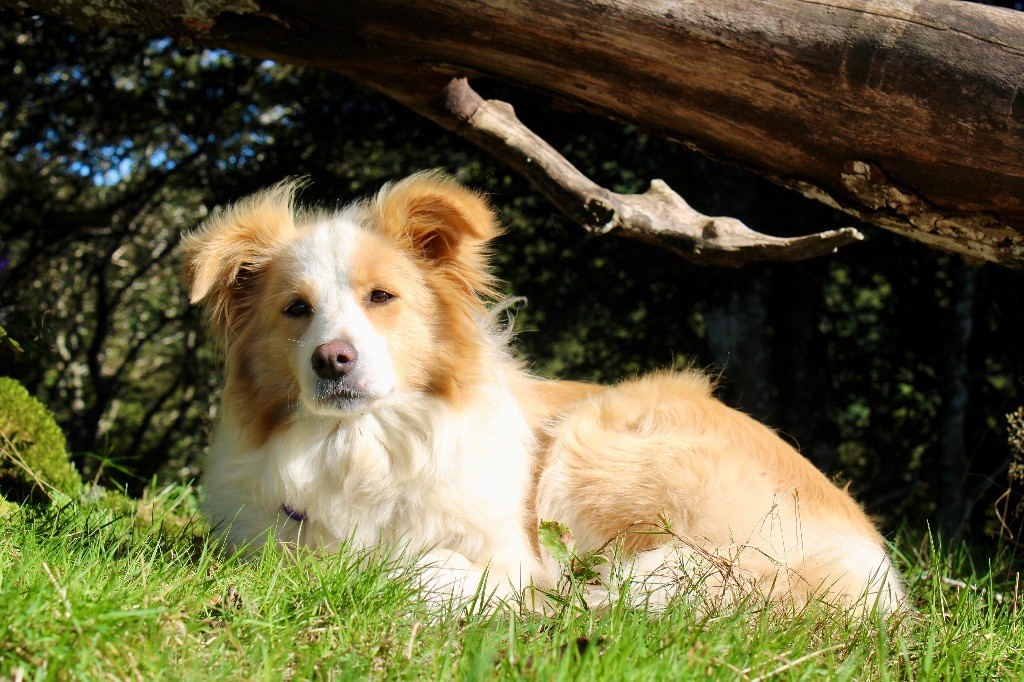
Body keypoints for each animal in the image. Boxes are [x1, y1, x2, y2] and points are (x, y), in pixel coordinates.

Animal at [184, 173, 905, 614]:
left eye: (381, 297)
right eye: (295, 309)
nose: (332, 361)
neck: (360, 445)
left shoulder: (511, 550)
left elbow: (436, 567)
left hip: (598, 438)